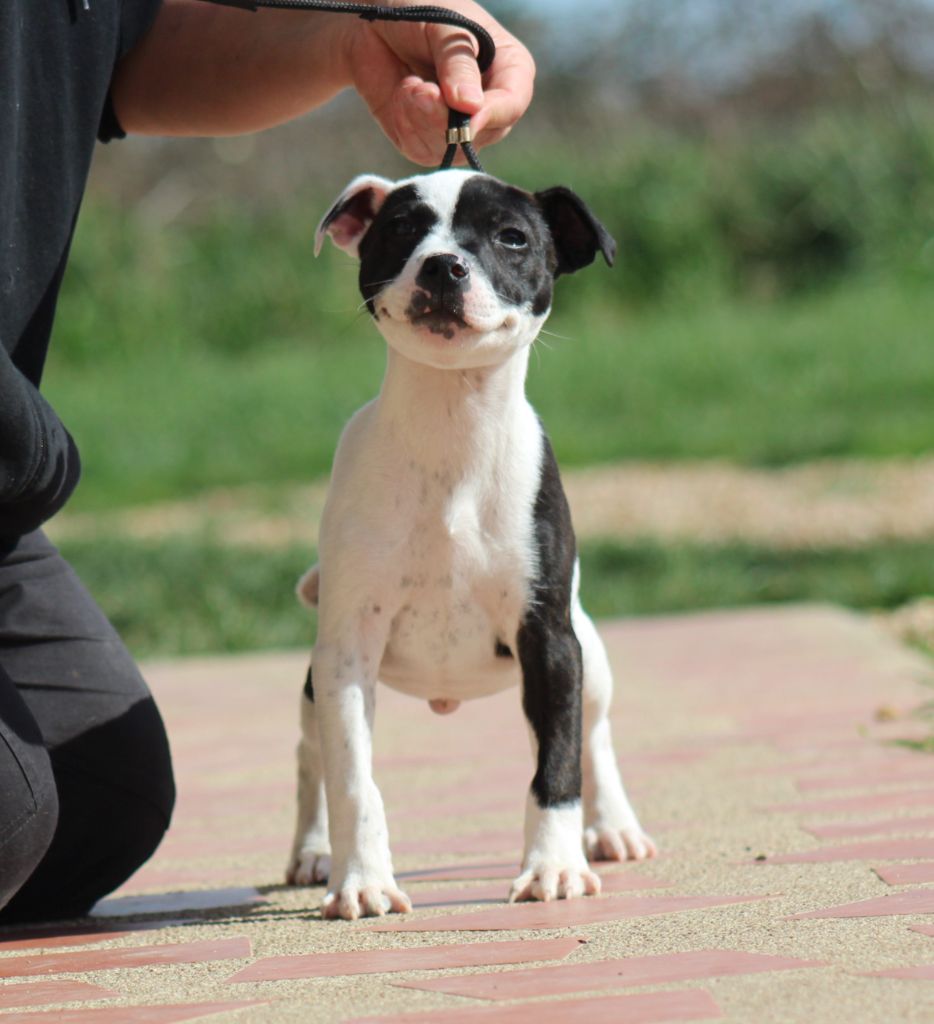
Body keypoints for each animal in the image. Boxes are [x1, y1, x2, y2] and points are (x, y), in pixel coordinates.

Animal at [288, 167, 651, 921]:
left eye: (512, 237)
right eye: (402, 228)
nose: (443, 265)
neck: (452, 427)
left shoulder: (551, 643)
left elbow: (558, 766)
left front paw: (554, 868)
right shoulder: (346, 650)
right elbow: (353, 778)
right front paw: (361, 880)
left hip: (590, 656)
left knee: (595, 737)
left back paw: (613, 828)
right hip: (317, 677)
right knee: (311, 756)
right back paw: (311, 851)